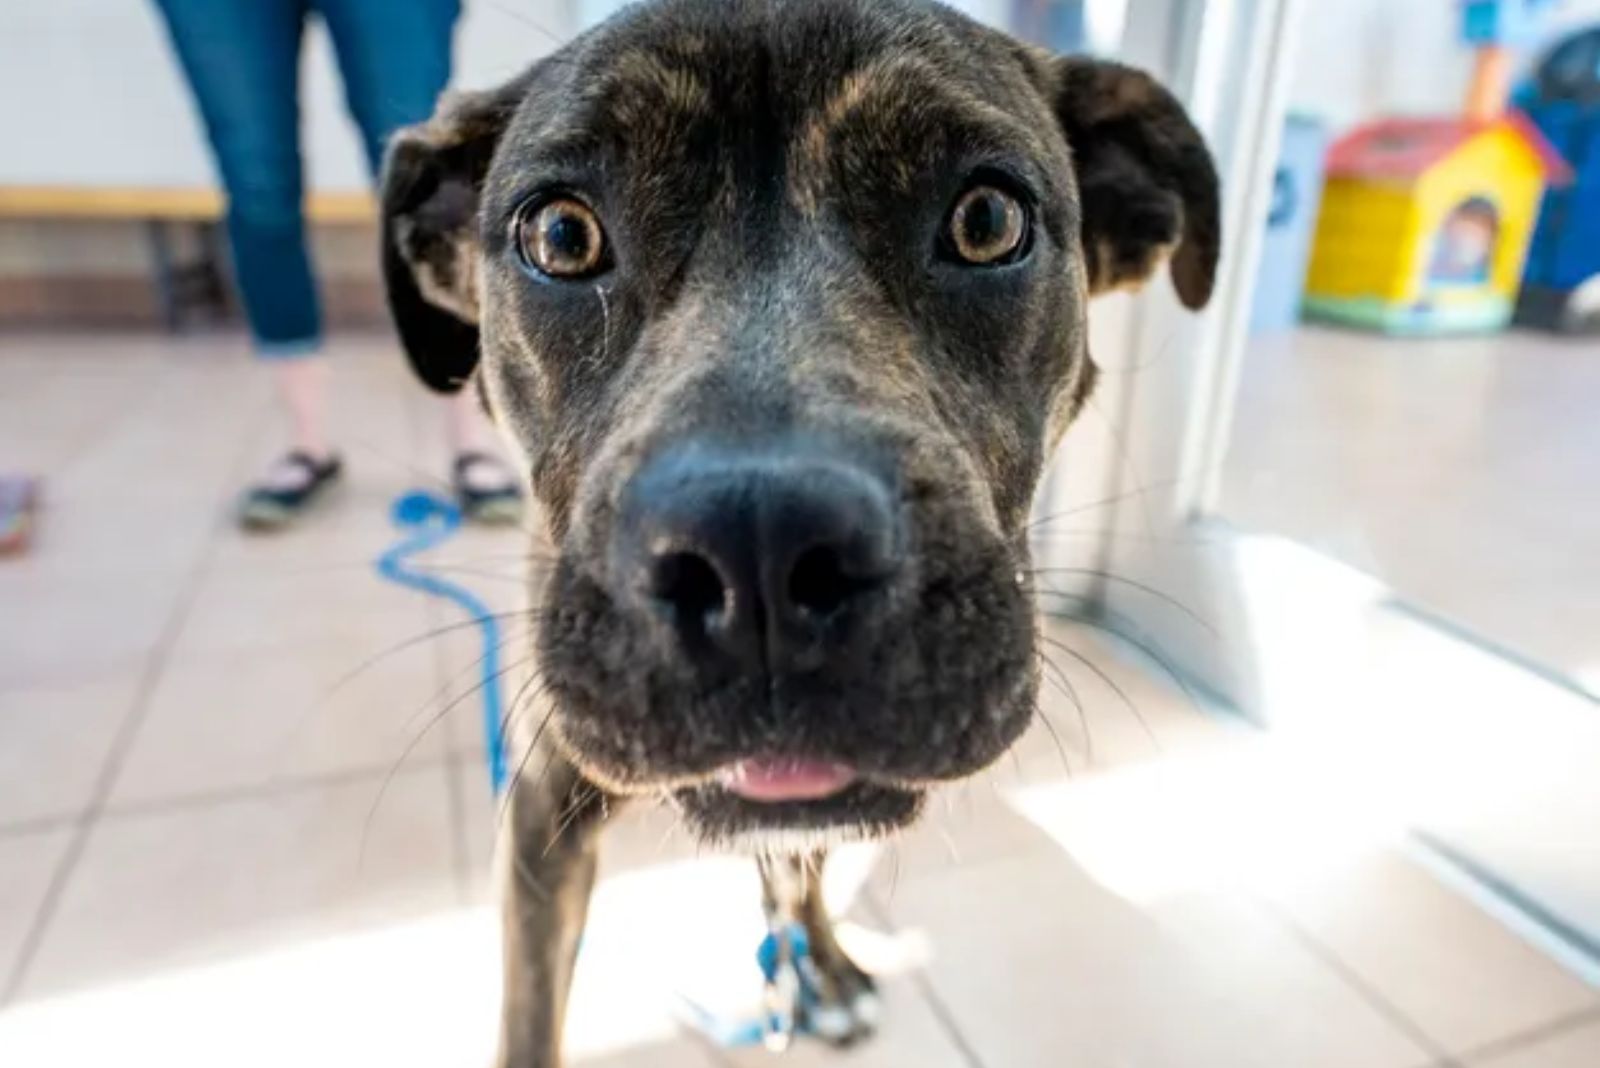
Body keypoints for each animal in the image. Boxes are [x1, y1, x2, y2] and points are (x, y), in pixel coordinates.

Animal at [380, 4, 1216, 1061]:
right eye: (561, 235)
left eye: (988, 221)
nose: (760, 552)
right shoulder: (540, 816)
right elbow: (531, 1012)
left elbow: (805, 856)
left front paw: (819, 960)